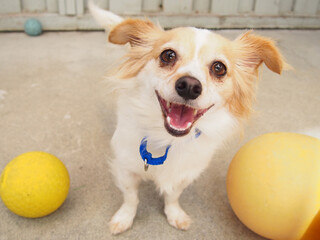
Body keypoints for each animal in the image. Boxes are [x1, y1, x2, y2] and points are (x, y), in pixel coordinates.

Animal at [89, 1, 286, 234]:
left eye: (219, 68)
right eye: (168, 55)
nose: (190, 86)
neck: (167, 139)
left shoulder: (185, 173)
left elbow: (173, 196)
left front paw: (174, 214)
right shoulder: (126, 169)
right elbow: (131, 198)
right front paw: (125, 217)